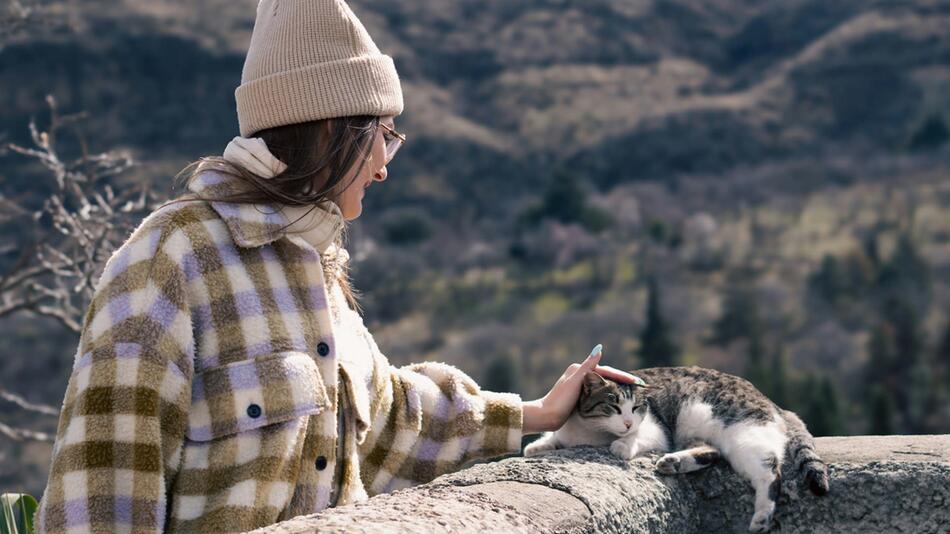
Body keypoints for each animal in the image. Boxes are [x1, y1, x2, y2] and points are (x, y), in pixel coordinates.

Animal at [524, 366, 828, 532]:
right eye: (613, 406)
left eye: (637, 408)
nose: (627, 422)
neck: (591, 433)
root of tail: (770, 401)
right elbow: (554, 436)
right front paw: (539, 445)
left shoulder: (656, 429)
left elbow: (636, 438)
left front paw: (622, 445)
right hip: (697, 434)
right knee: (712, 452)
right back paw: (674, 463)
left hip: (739, 432)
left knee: (769, 469)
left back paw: (762, 516)